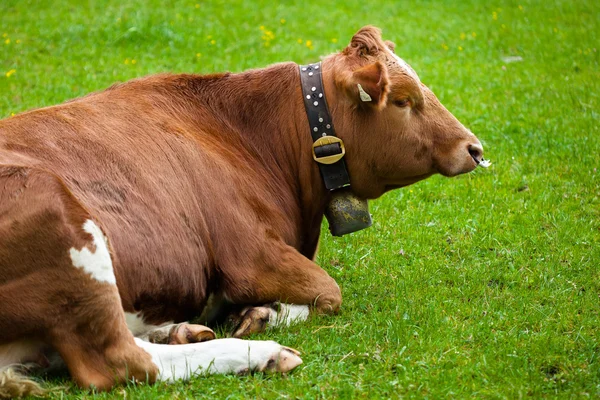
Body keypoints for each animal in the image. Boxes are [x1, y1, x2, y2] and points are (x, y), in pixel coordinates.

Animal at [0, 25, 486, 396]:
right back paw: (261, 354)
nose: (475, 149)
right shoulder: (250, 255)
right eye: (403, 100)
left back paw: (178, 330)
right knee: (119, 360)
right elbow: (327, 292)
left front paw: (256, 314)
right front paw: (262, 315)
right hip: (58, 214)